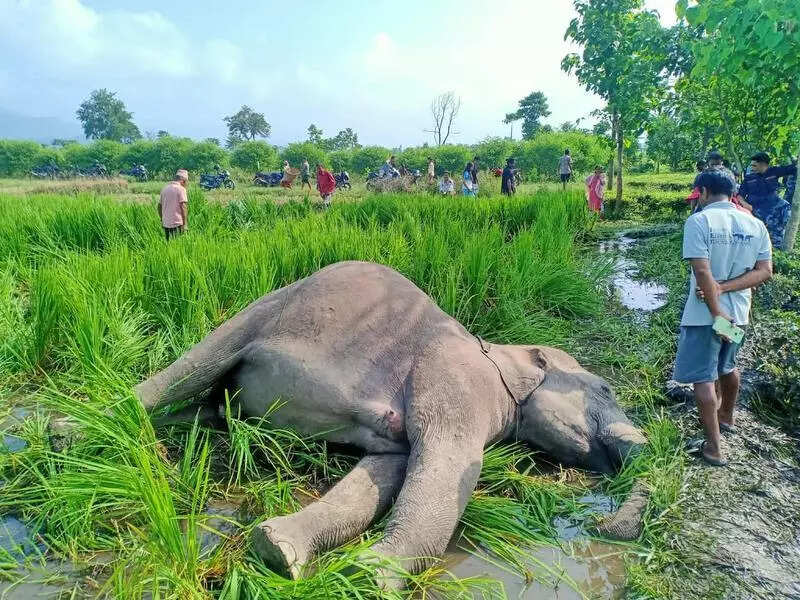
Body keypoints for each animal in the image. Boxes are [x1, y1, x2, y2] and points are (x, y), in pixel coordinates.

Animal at [135, 261, 647, 583]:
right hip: (265, 310)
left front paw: (280, 552)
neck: (496, 353)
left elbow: (385, 473)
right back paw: (116, 417)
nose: (643, 448)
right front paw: (368, 576)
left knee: (205, 409)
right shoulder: (454, 378)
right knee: (196, 366)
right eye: (605, 389)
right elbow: (445, 466)